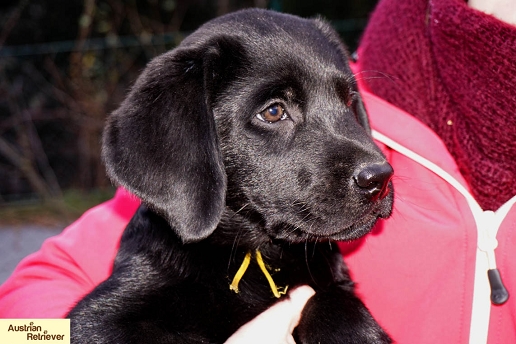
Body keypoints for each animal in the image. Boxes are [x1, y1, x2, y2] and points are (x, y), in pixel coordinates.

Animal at [66, 8, 394, 344]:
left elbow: (333, 302)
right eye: (273, 112)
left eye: (349, 102)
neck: (260, 253)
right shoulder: (102, 316)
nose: (379, 178)